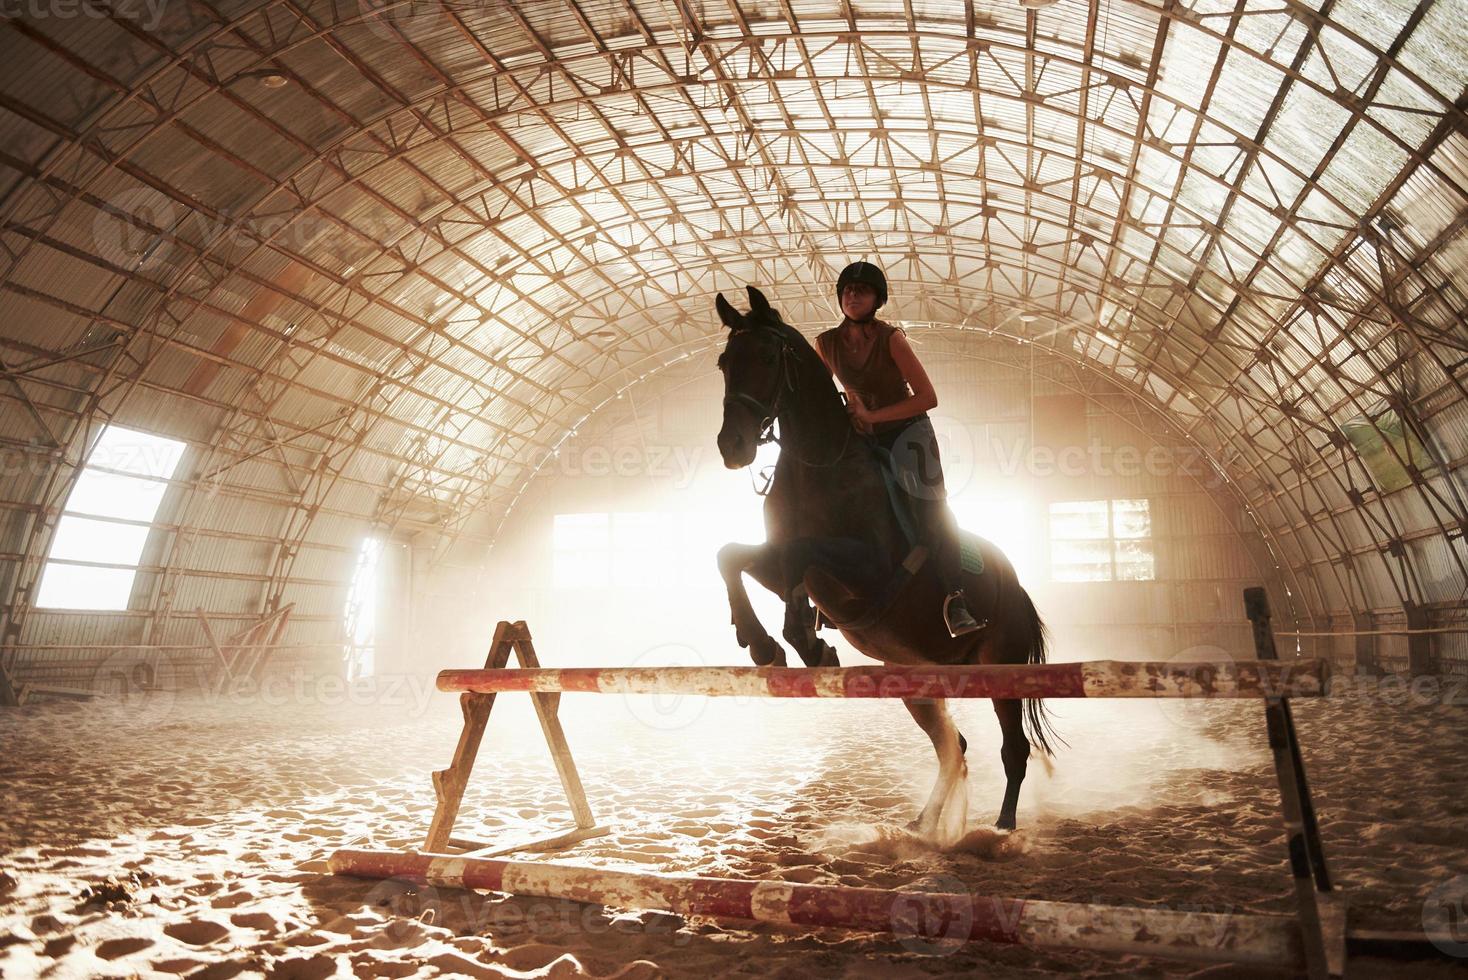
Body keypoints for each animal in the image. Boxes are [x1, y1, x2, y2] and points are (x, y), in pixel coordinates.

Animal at [710, 283, 1056, 833]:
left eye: (766, 356)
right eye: (725, 361)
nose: (733, 446)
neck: (817, 465)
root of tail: (1017, 586)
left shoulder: (871, 571)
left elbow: (799, 557)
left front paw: (803, 640)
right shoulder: (776, 563)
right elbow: (735, 557)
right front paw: (769, 644)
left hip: (1000, 667)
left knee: (1013, 749)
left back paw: (1000, 830)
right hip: (916, 679)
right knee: (953, 747)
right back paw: (923, 827)